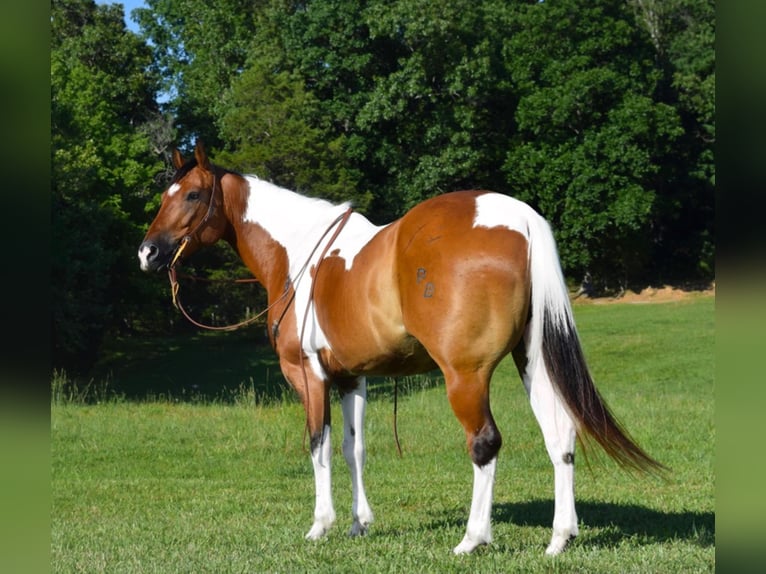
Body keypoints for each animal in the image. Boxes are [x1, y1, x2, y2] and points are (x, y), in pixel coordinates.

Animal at [140, 141, 664, 560]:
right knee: (561, 435)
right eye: (166, 196)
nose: (148, 253)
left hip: (465, 375)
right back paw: (559, 538)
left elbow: (318, 445)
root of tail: (519, 218)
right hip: (532, 360)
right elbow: (353, 448)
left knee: (485, 442)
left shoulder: (308, 376)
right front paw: (359, 524)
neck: (299, 254)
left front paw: (320, 526)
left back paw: (472, 539)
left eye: (191, 195)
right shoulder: (351, 378)